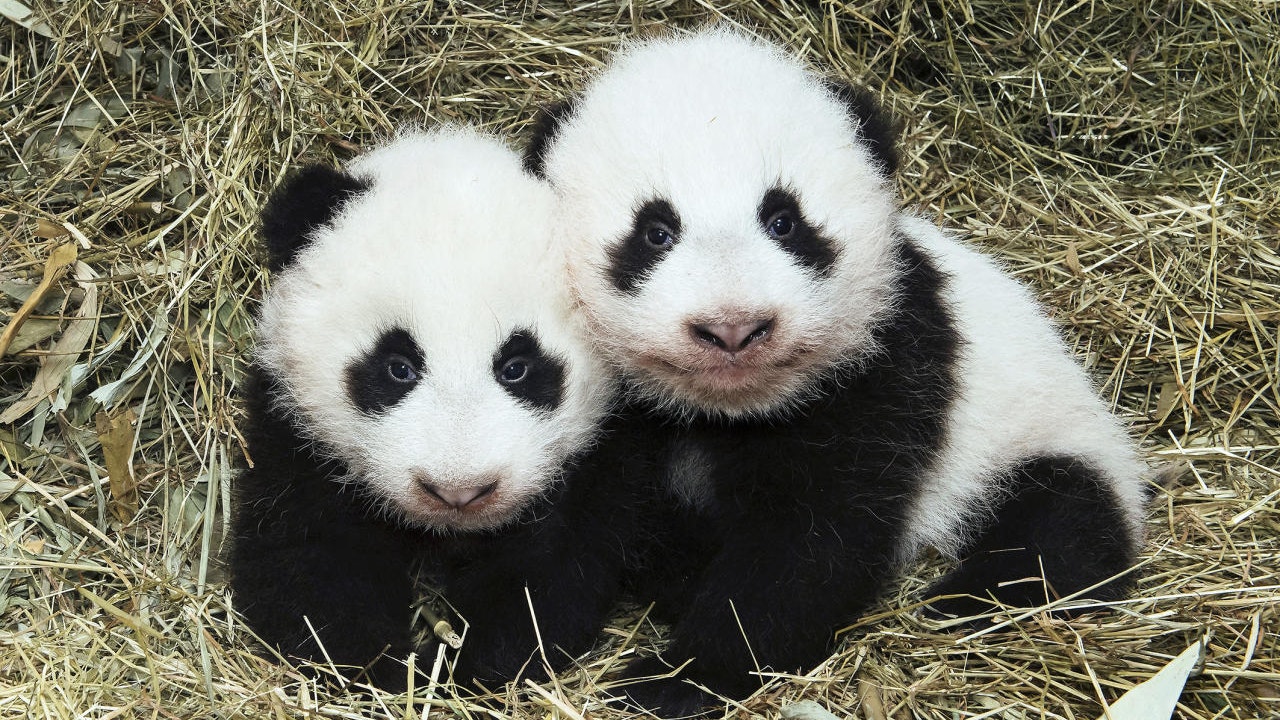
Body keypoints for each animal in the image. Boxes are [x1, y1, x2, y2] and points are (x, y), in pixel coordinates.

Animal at [230, 127, 637, 692]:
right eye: (398, 367)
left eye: (517, 366)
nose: (457, 492)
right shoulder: (292, 431)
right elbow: (309, 558)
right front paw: (384, 669)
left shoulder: (596, 466)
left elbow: (548, 572)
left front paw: (459, 667)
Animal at [526, 28, 1149, 716]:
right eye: (655, 232)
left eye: (784, 221)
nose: (734, 329)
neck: (728, 409)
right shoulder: (607, 409)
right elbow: (580, 527)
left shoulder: (883, 372)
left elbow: (810, 548)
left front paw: (675, 680)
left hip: (1041, 435)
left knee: (1059, 524)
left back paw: (964, 599)